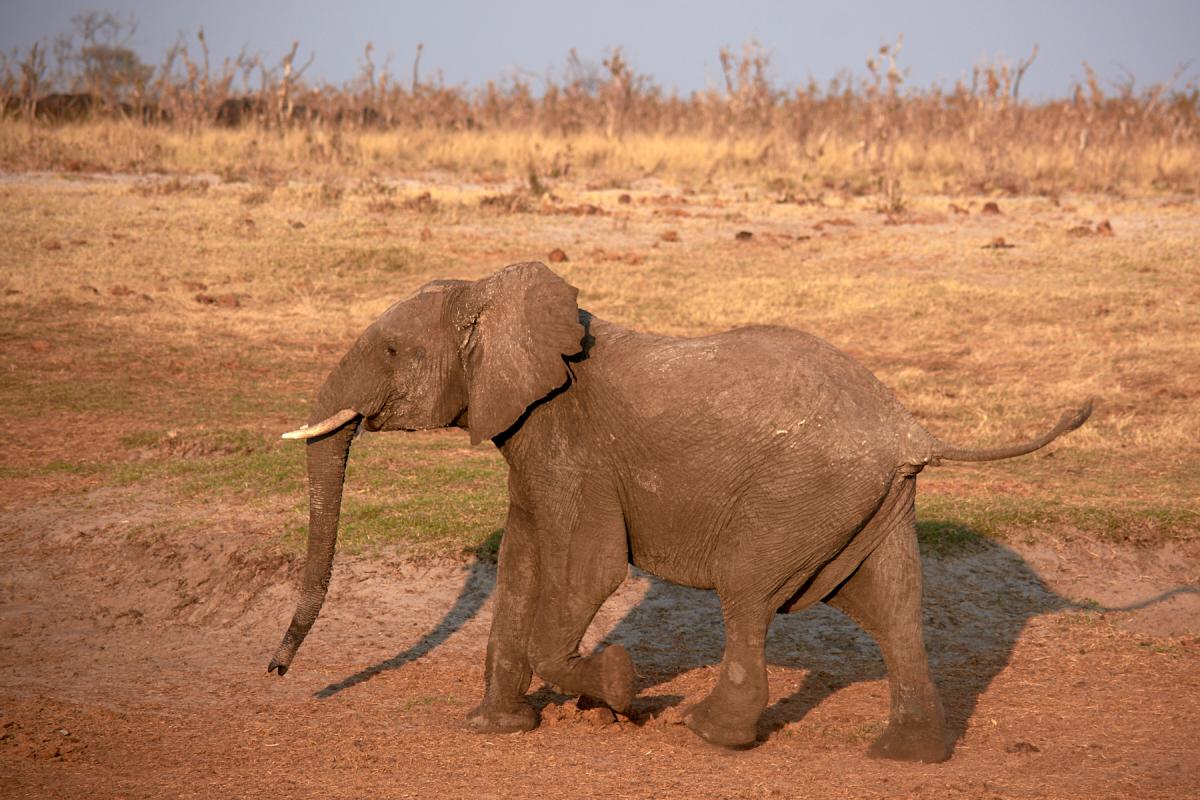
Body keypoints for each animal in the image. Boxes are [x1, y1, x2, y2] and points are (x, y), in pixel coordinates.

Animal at [267, 261, 1092, 762]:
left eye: (392, 351)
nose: (276, 671)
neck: (496, 294)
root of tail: (910, 427)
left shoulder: (569, 437)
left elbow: (587, 567)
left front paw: (620, 688)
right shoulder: (531, 439)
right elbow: (523, 558)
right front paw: (497, 729)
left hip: (800, 491)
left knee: (749, 589)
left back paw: (710, 731)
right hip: (871, 502)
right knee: (895, 607)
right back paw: (904, 755)